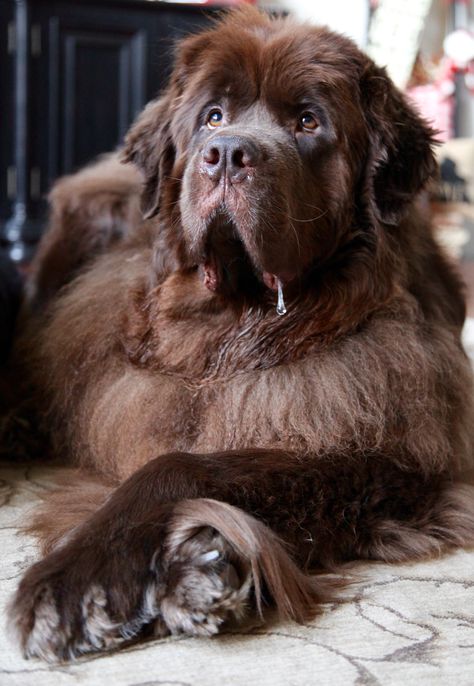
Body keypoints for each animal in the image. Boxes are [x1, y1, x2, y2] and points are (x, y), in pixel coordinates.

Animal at [9, 4, 474, 660]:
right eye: (213, 116)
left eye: (308, 121)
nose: (227, 152)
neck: (238, 325)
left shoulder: (396, 457)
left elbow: (190, 464)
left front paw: (176, 568)